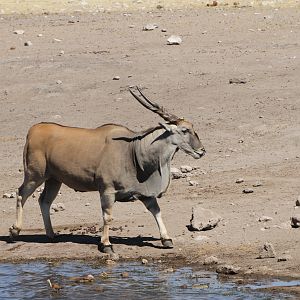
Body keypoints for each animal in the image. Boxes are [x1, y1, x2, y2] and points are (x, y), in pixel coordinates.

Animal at [9, 86, 206, 255]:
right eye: (184, 130)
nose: (202, 151)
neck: (133, 151)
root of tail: (33, 130)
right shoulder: (107, 191)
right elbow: (107, 217)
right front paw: (106, 244)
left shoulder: (145, 195)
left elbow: (156, 211)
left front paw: (166, 239)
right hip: (35, 175)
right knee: (21, 193)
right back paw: (15, 231)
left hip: (54, 179)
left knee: (44, 201)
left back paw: (51, 235)